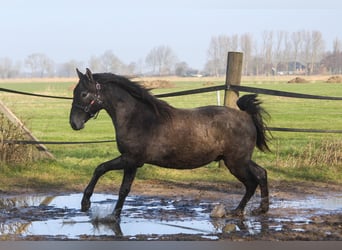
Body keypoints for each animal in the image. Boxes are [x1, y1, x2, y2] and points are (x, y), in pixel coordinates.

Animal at [69, 68, 272, 221]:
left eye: (84, 93)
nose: (74, 123)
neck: (138, 118)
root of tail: (246, 116)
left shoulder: (131, 159)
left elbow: (102, 170)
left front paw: (86, 204)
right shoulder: (132, 163)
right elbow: (123, 189)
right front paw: (114, 215)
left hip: (236, 163)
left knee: (252, 182)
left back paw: (237, 211)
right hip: (241, 160)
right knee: (261, 173)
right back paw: (260, 209)